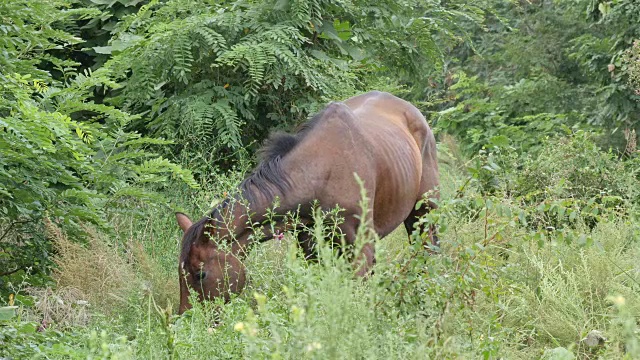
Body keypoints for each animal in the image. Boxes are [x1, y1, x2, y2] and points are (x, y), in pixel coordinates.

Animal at [174, 91, 440, 314]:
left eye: (200, 274)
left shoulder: (361, 248)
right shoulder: (312, 248)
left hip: (425, 211)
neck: (320, 175)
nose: (186, 317)